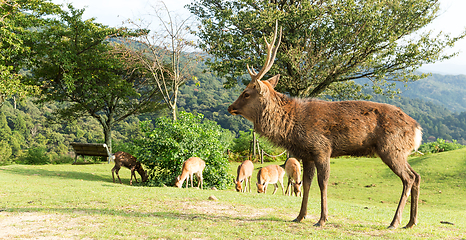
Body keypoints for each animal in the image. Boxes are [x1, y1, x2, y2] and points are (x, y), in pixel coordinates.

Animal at [228, 22, 424, 229]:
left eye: (246, 93)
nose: (230, 107)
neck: (292, 128)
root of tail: (417, 129)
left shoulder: (322, 148)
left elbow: (323, 182)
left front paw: (322, 219)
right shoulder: (307, 154)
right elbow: (306, 183)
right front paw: (300, 216)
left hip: (391, 148)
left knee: (408, 178)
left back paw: (395, 222)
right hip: (400, 151)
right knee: (417, 176)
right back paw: (411, 222)